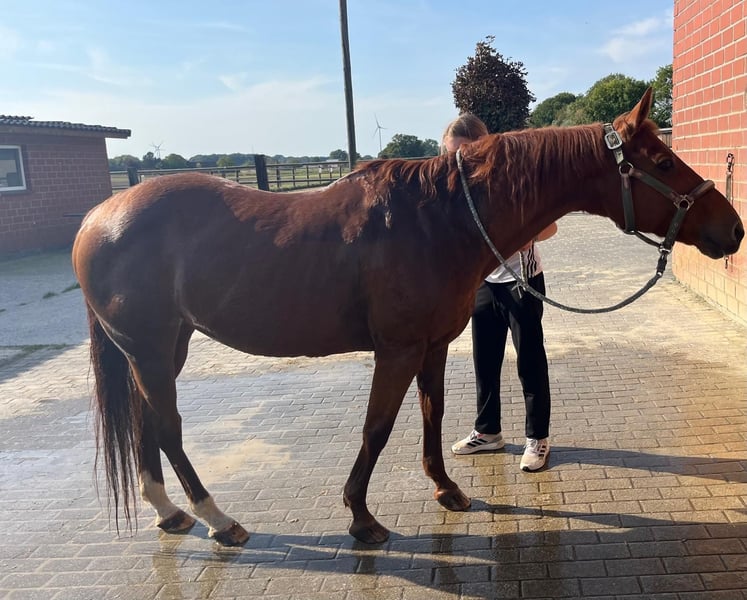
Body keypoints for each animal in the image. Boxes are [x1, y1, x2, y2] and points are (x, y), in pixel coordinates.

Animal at [72, 88, 743, 546]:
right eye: (661, 159)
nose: (732, 229)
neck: (439, 219)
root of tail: (98, 217)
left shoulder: (435, 345)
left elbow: (431, 414)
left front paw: (446, 489)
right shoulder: (395, 351)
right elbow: (377, 427)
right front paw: (362, 518)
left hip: (164, 349)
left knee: (145, 426)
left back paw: (170, 513)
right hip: (152, 350)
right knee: (168, 429)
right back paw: (219, 519)